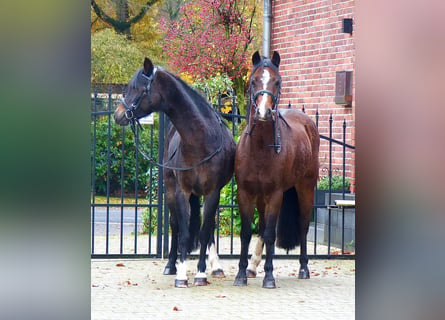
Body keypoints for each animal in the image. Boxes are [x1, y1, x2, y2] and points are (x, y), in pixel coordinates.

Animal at [114, 57, 236, 288]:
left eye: (137, 88)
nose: (118, 115)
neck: (200, 140)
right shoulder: (182, 191)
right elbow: (184, 232)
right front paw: (181, 274)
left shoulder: (213, 192)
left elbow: (205, 232)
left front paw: (201, 273)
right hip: (171, 190)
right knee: (175, 224)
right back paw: (171, 265)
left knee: (209, 228)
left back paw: (215, 266)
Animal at [232, 51, 320, 288]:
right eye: (254, 81)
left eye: (277, 81)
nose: (264, 112)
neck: (261, 148)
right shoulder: (246, 193)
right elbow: (247, 233)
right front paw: (241, 274)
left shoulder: (275, 195)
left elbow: (271, 233)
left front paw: (269, 277)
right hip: (262, 198)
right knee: (262, 228)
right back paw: (253, 267)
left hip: (305, 188)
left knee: (302, 225)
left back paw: (304, 269)